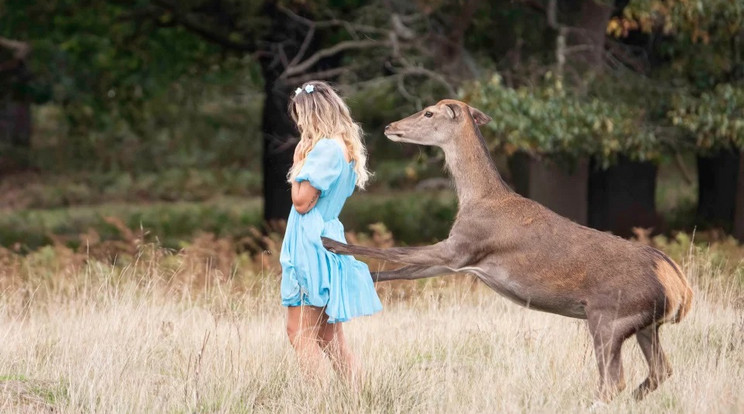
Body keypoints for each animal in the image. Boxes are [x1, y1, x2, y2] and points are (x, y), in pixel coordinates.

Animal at [322, 98, 696, 402]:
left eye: (428, 112)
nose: (390, 127)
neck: (477, 198)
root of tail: (681, 288)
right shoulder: (457, 258)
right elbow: (401, 271)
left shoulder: (462, 245)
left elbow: (398, 251)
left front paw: (331, 244)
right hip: (645, 324)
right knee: (660, 371)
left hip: (609, 316)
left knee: (613, 381)